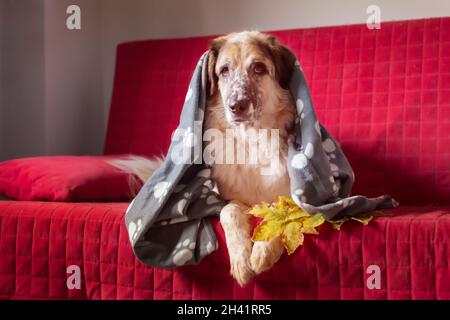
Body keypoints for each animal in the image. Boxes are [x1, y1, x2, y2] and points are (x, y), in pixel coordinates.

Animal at [112, 31, 298, 286]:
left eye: (259, 68)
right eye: (224, 70)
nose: (236, 106)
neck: (252, 139)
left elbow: (281, 211)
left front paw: (263, 252)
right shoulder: (231, 198)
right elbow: (228, 212)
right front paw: (241, 261)